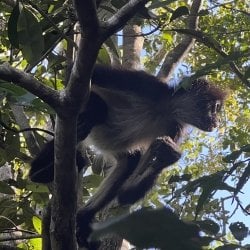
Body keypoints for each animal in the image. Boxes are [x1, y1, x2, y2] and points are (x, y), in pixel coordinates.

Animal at [28, 63, 227, 247]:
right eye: (215, 108)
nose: (217, 121)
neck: (165, 109)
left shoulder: (173, 129)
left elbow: (126, 194)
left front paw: (168, 156)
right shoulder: (149, 86)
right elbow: (77, 71)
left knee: (129, 161)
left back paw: (83, 220)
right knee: (93, 110)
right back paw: (38, 173)